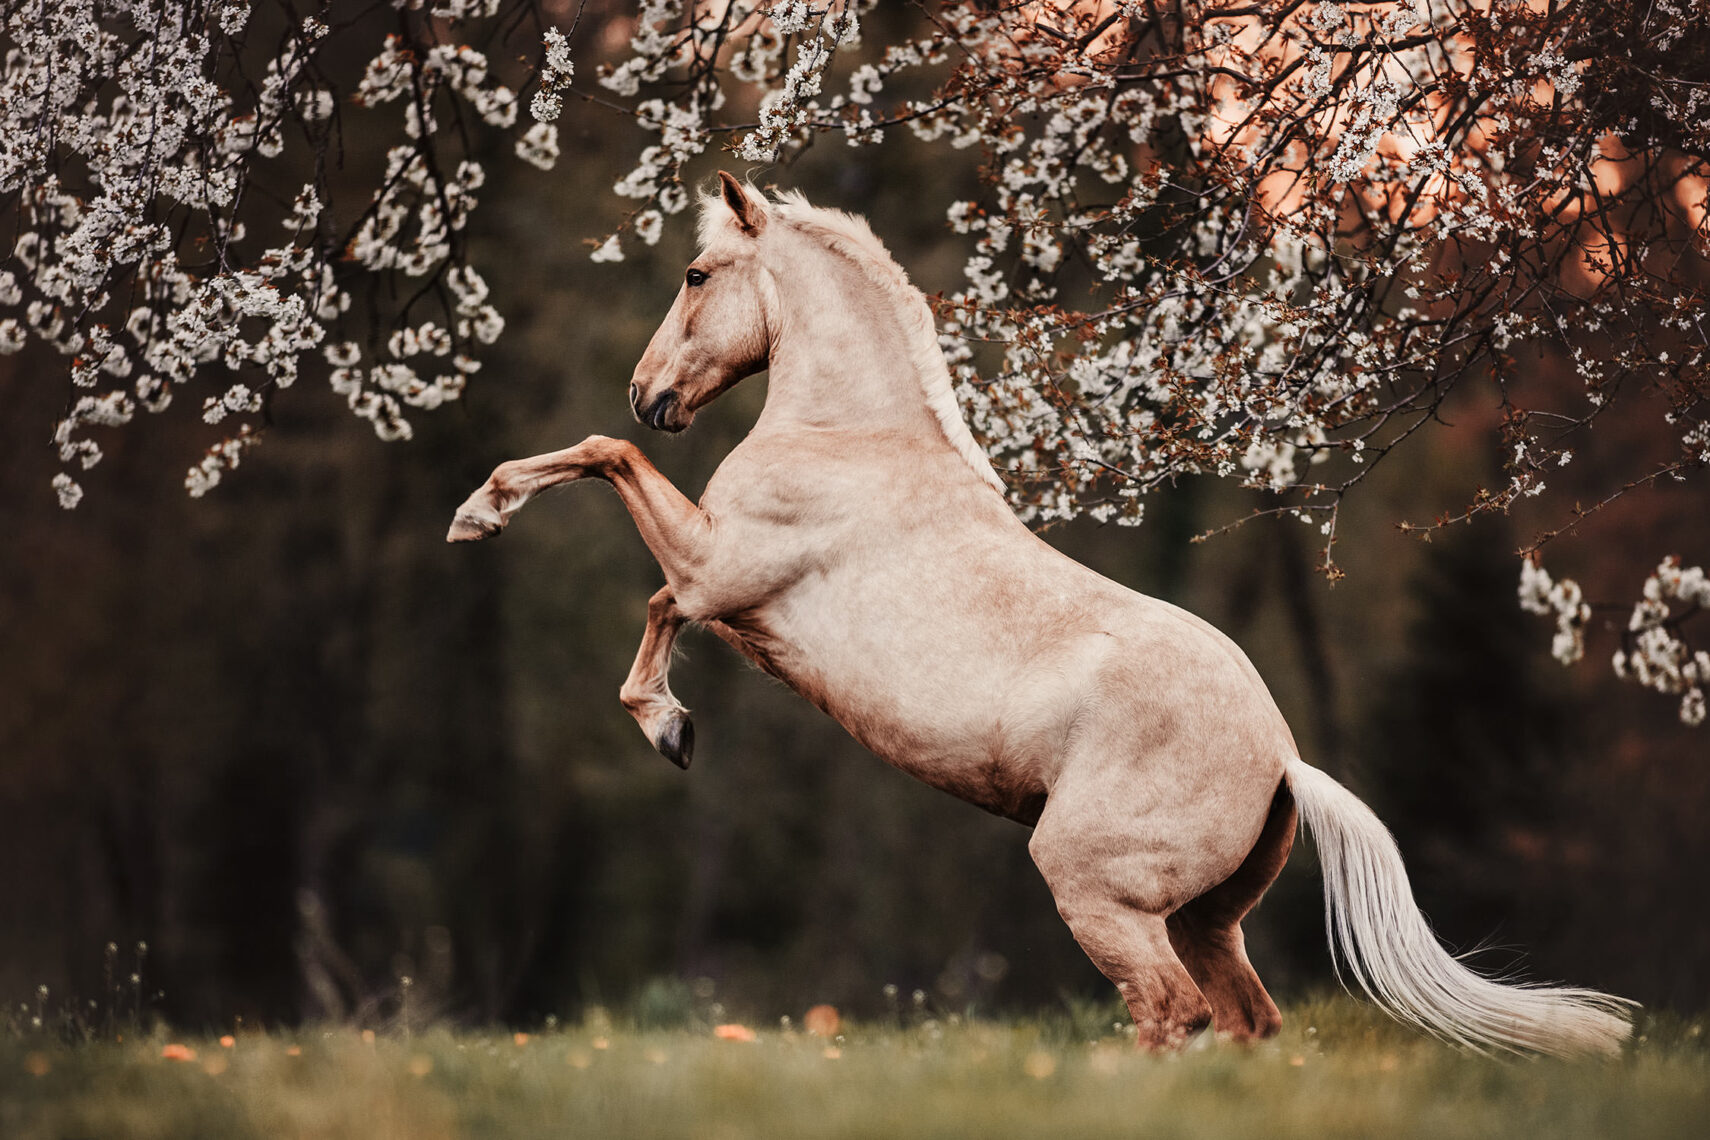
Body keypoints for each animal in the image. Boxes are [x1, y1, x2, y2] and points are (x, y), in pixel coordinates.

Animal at [448, 173, 1634, 1057]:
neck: (854, 436)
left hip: (1096, 889)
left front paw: (659, 717)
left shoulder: (717, 574)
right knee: (1243, 1020)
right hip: (1201, 918)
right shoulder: (732, 602)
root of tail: (1283, 757)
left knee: (1170, 1011)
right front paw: (487, 517)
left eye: (698, 274)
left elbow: (622, 503)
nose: (650, 392)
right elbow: (615, 483)